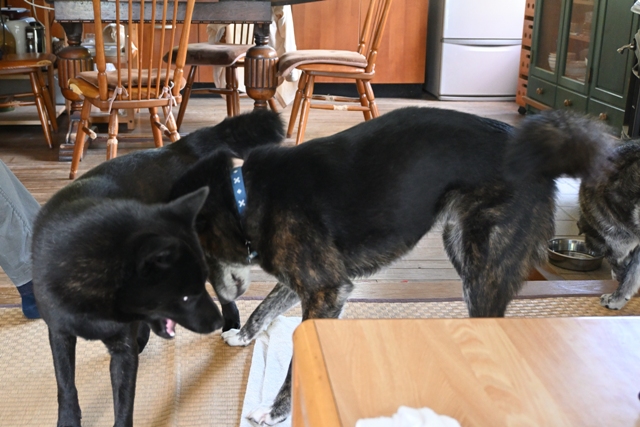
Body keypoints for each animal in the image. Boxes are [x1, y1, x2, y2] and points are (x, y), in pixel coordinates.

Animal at [31, 109, 284, 427]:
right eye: (184, 297)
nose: (212, 324)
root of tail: (177, 148)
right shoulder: (60, 334)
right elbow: (66, 386)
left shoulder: (122, 350)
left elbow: (123, 406)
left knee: (226, 296)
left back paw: (232, 325)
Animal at [168, 106, 612, 425]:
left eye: (202, 260)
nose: (222, 307)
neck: (245, 197)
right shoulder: (305, 282)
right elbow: (264, 308)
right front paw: (243, 336)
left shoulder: (326, 290)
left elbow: (295, 365)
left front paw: (275, 411)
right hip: (460, 245)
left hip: (482, 261)